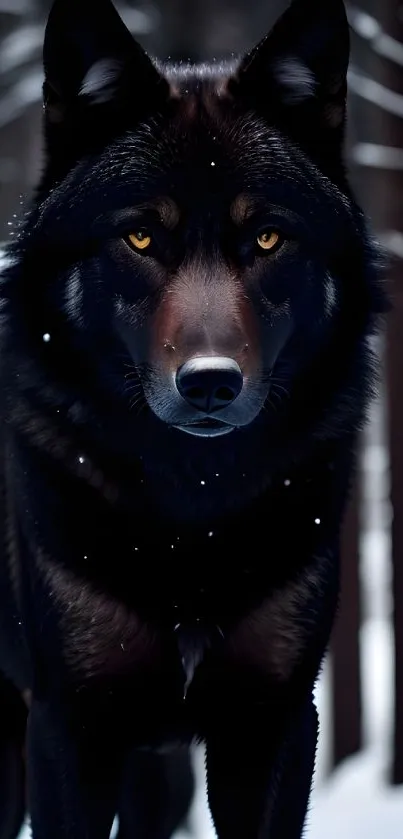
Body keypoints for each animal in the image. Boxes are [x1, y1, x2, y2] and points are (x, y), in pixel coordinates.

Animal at [0, 0, 386, 836]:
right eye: (141, 235)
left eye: (266, 237)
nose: (210, 382)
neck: (192, 510)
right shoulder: (67, 729)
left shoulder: (272, 723)